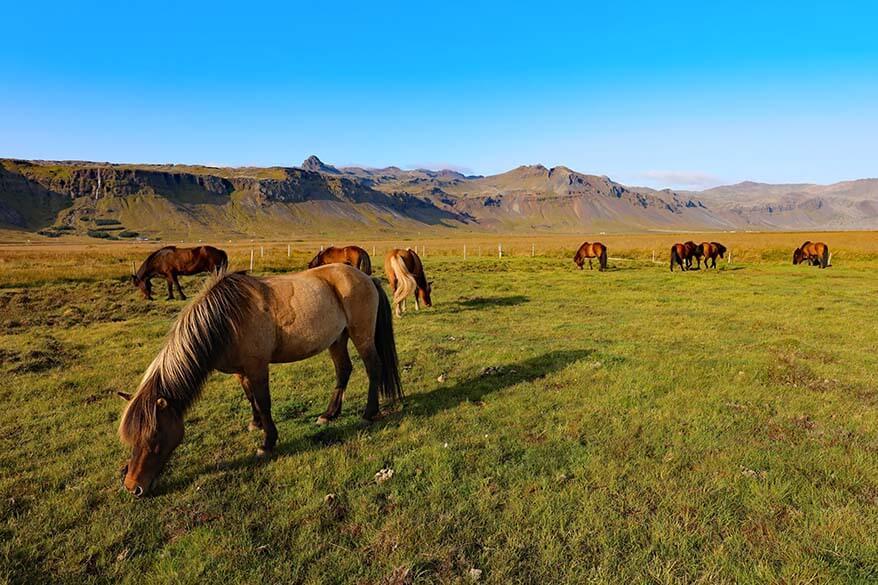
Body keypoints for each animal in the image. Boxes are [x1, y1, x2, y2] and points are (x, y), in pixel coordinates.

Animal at [118, 266, 404, 498]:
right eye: (132, 438)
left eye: (155, 436)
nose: (133, 487)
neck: (227, 318)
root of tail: (366, 277)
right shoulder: (241, 371)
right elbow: (251, 398)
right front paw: (255, 424)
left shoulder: (257, 368)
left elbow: (264, 402)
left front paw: (267, 443)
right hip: (337, 338)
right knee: (343, 370)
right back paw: (329, 414)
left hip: (361, 335)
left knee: (373, 368)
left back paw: (369, 413)